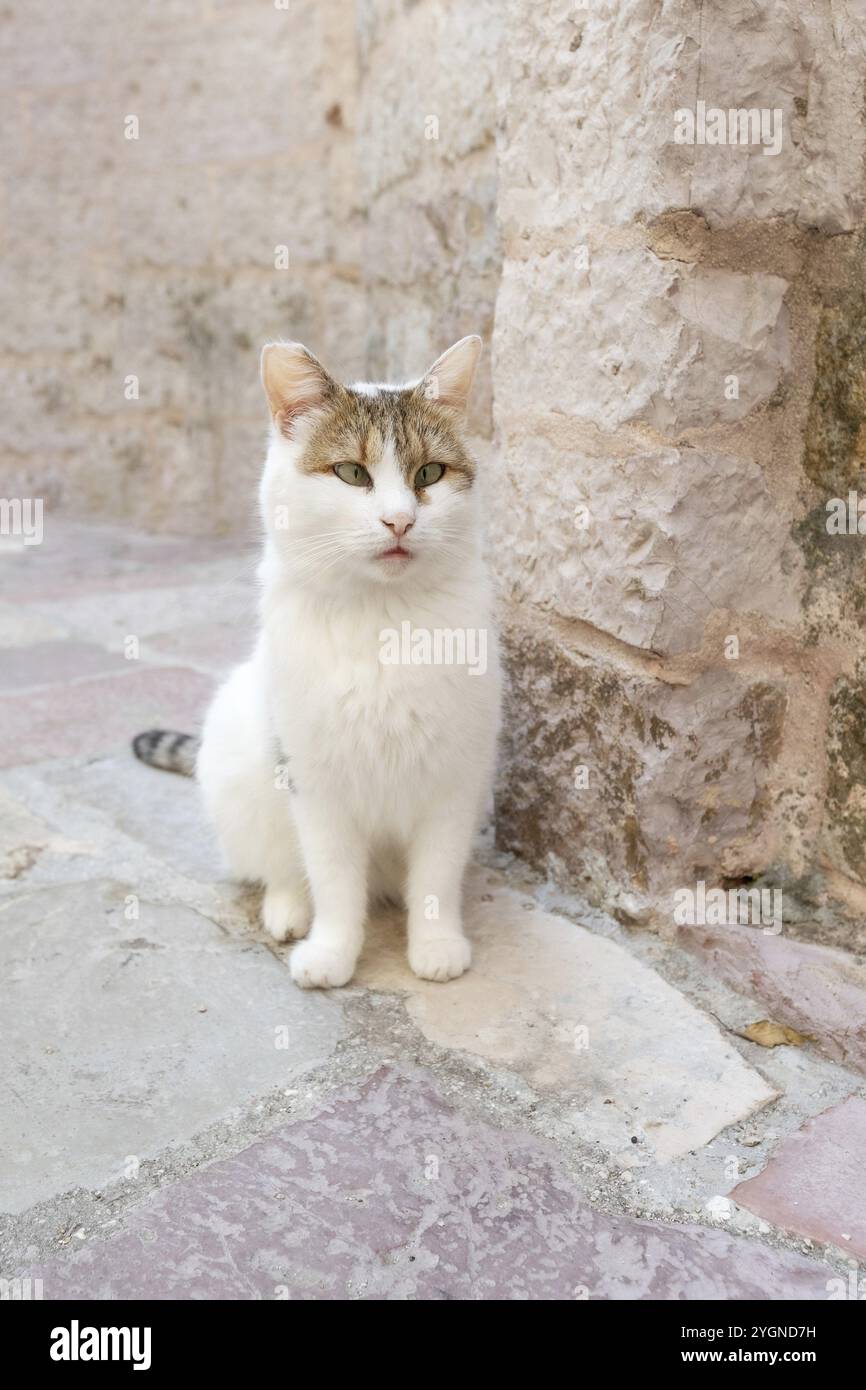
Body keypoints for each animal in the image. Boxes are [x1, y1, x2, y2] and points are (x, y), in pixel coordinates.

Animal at [134, 336, 500, 989]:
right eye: (352, 473)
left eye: (428, 473)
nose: (400, 520)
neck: (383, 623)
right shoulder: (316, 783)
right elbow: (333, 882)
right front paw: (332, 952)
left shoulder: (453, 782)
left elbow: (435, 878)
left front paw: (435, 946)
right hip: (241, 772)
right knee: (279, 867)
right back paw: (287, 913)